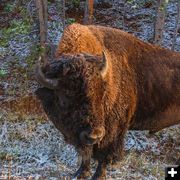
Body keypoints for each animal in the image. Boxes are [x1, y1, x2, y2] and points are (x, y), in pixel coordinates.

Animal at [35, 23, 180, 179]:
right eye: (65, 97)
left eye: (101, 94)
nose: (94, 134)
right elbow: (86, 153)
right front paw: (81, 173)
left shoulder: (112, 130)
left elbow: (103, 153)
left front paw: (98, 175)